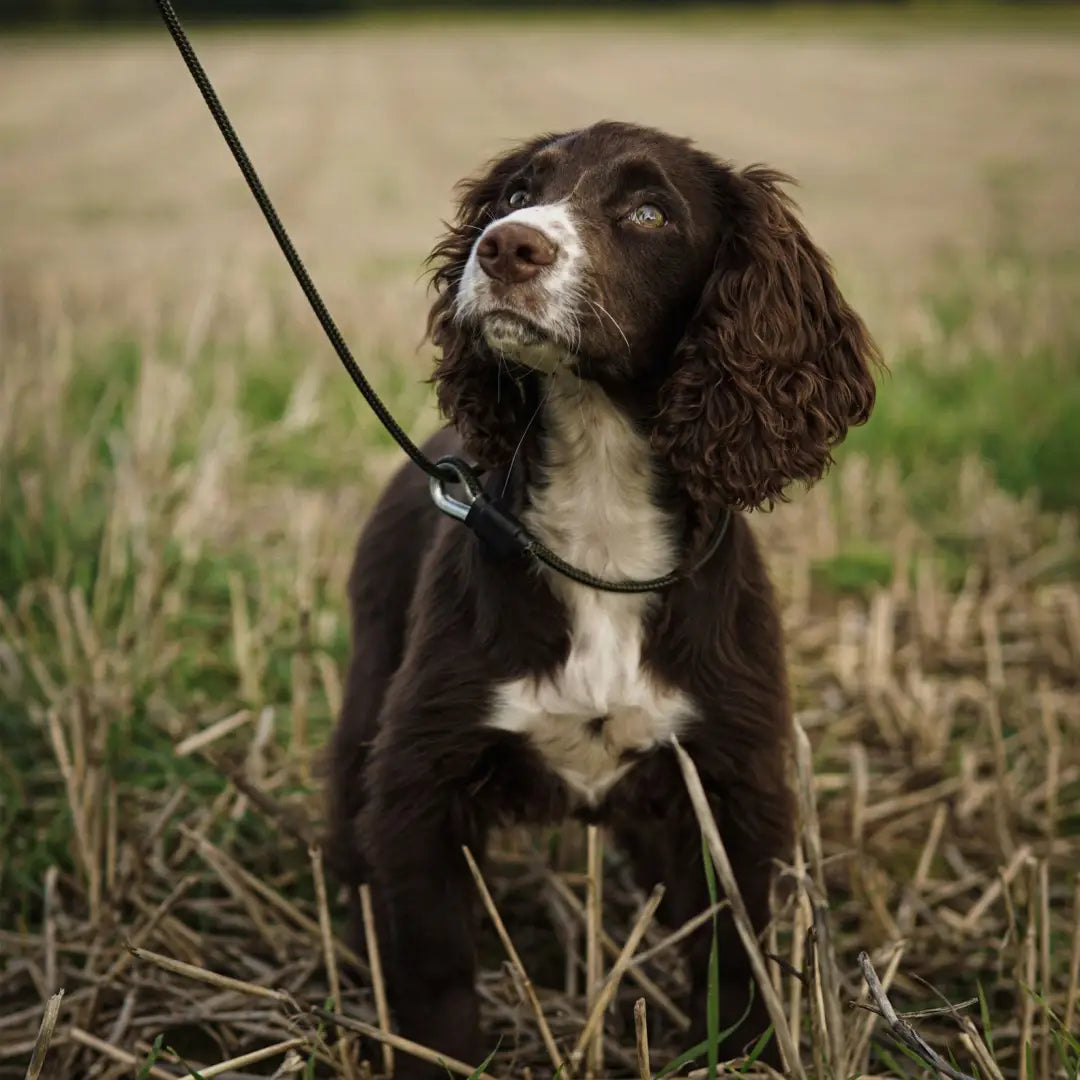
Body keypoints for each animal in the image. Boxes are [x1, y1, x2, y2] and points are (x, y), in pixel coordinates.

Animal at [324, 120, 881, 1080]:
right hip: (371, 681)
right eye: (517, 193)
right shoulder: (419, 778)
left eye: (649, 212)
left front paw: (740, 1051)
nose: (506, 246)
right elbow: (435, 967)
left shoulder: (733, 779)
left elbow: (738, 957)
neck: (599, 500)